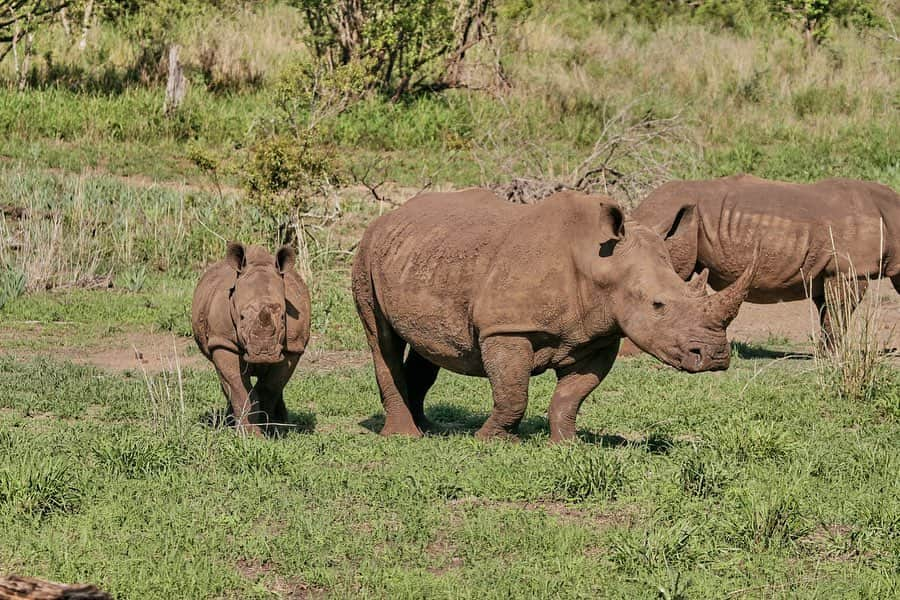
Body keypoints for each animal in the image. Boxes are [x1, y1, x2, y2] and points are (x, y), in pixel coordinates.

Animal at [192, 241, 312, 434]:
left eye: (283, 317)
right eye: (241, 317)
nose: (263, 354)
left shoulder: (293, 347)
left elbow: (270, 387)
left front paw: (269, 430)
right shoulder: (223, 342)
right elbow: (239, 388)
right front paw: (250, 435)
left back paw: (281, 424)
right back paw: (230, 422)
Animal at [354, 190, 760, 442]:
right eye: (658, 305)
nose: (715, 357)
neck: (601, 264)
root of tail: (390, 216)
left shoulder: (598, 336)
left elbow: (572, 396)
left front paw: (567, 444)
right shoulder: (506, 329)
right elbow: (512, 393)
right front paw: (489, 440)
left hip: (424, 254)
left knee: (429, 346)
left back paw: (429, 427)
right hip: (366, 253)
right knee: (381, 340)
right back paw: (405, 435)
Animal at [632, 173, 900, 346]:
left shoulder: (829, 272)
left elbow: (828, 314)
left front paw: (827, 353)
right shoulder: (848, 271)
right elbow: (840, 312)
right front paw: (837, 355)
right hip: (667, 217)